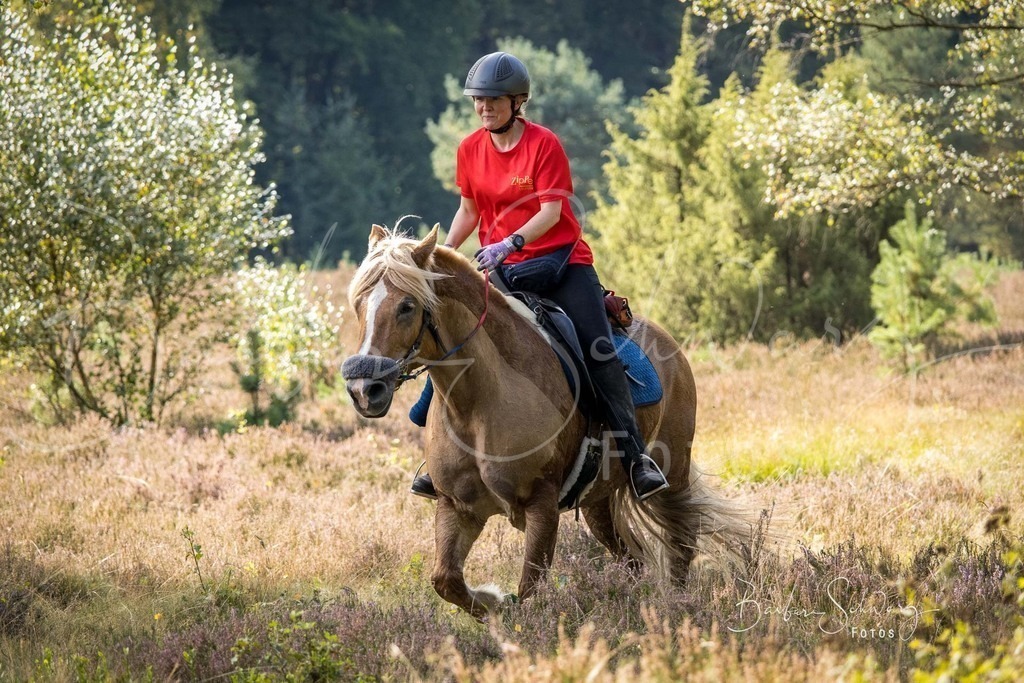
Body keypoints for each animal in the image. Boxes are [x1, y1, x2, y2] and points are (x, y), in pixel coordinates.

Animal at [342, 223, 750, 619]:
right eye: (358, 305)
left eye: (407, 306)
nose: (364, 390)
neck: (478, 404)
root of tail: (671, 346)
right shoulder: (456, 506)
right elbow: (446, 580)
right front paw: (493, 603)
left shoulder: (541, 504)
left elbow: (529, 590)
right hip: (598, 501)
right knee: (631, 559)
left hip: (673, 473)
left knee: (681, 542)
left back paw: (677, 606)